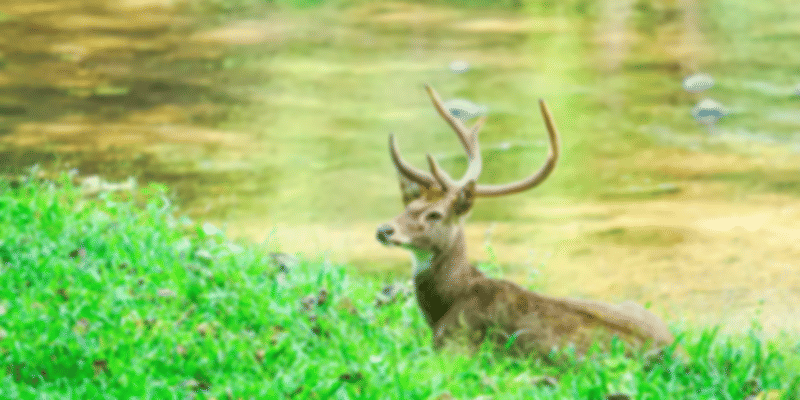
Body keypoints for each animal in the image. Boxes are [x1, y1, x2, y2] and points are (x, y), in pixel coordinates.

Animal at [376, 85, 676, 360]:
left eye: (435, 214)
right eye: (408, 207)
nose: (384, 230)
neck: (445, 303)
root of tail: (673, 352)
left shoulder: (454, 342)